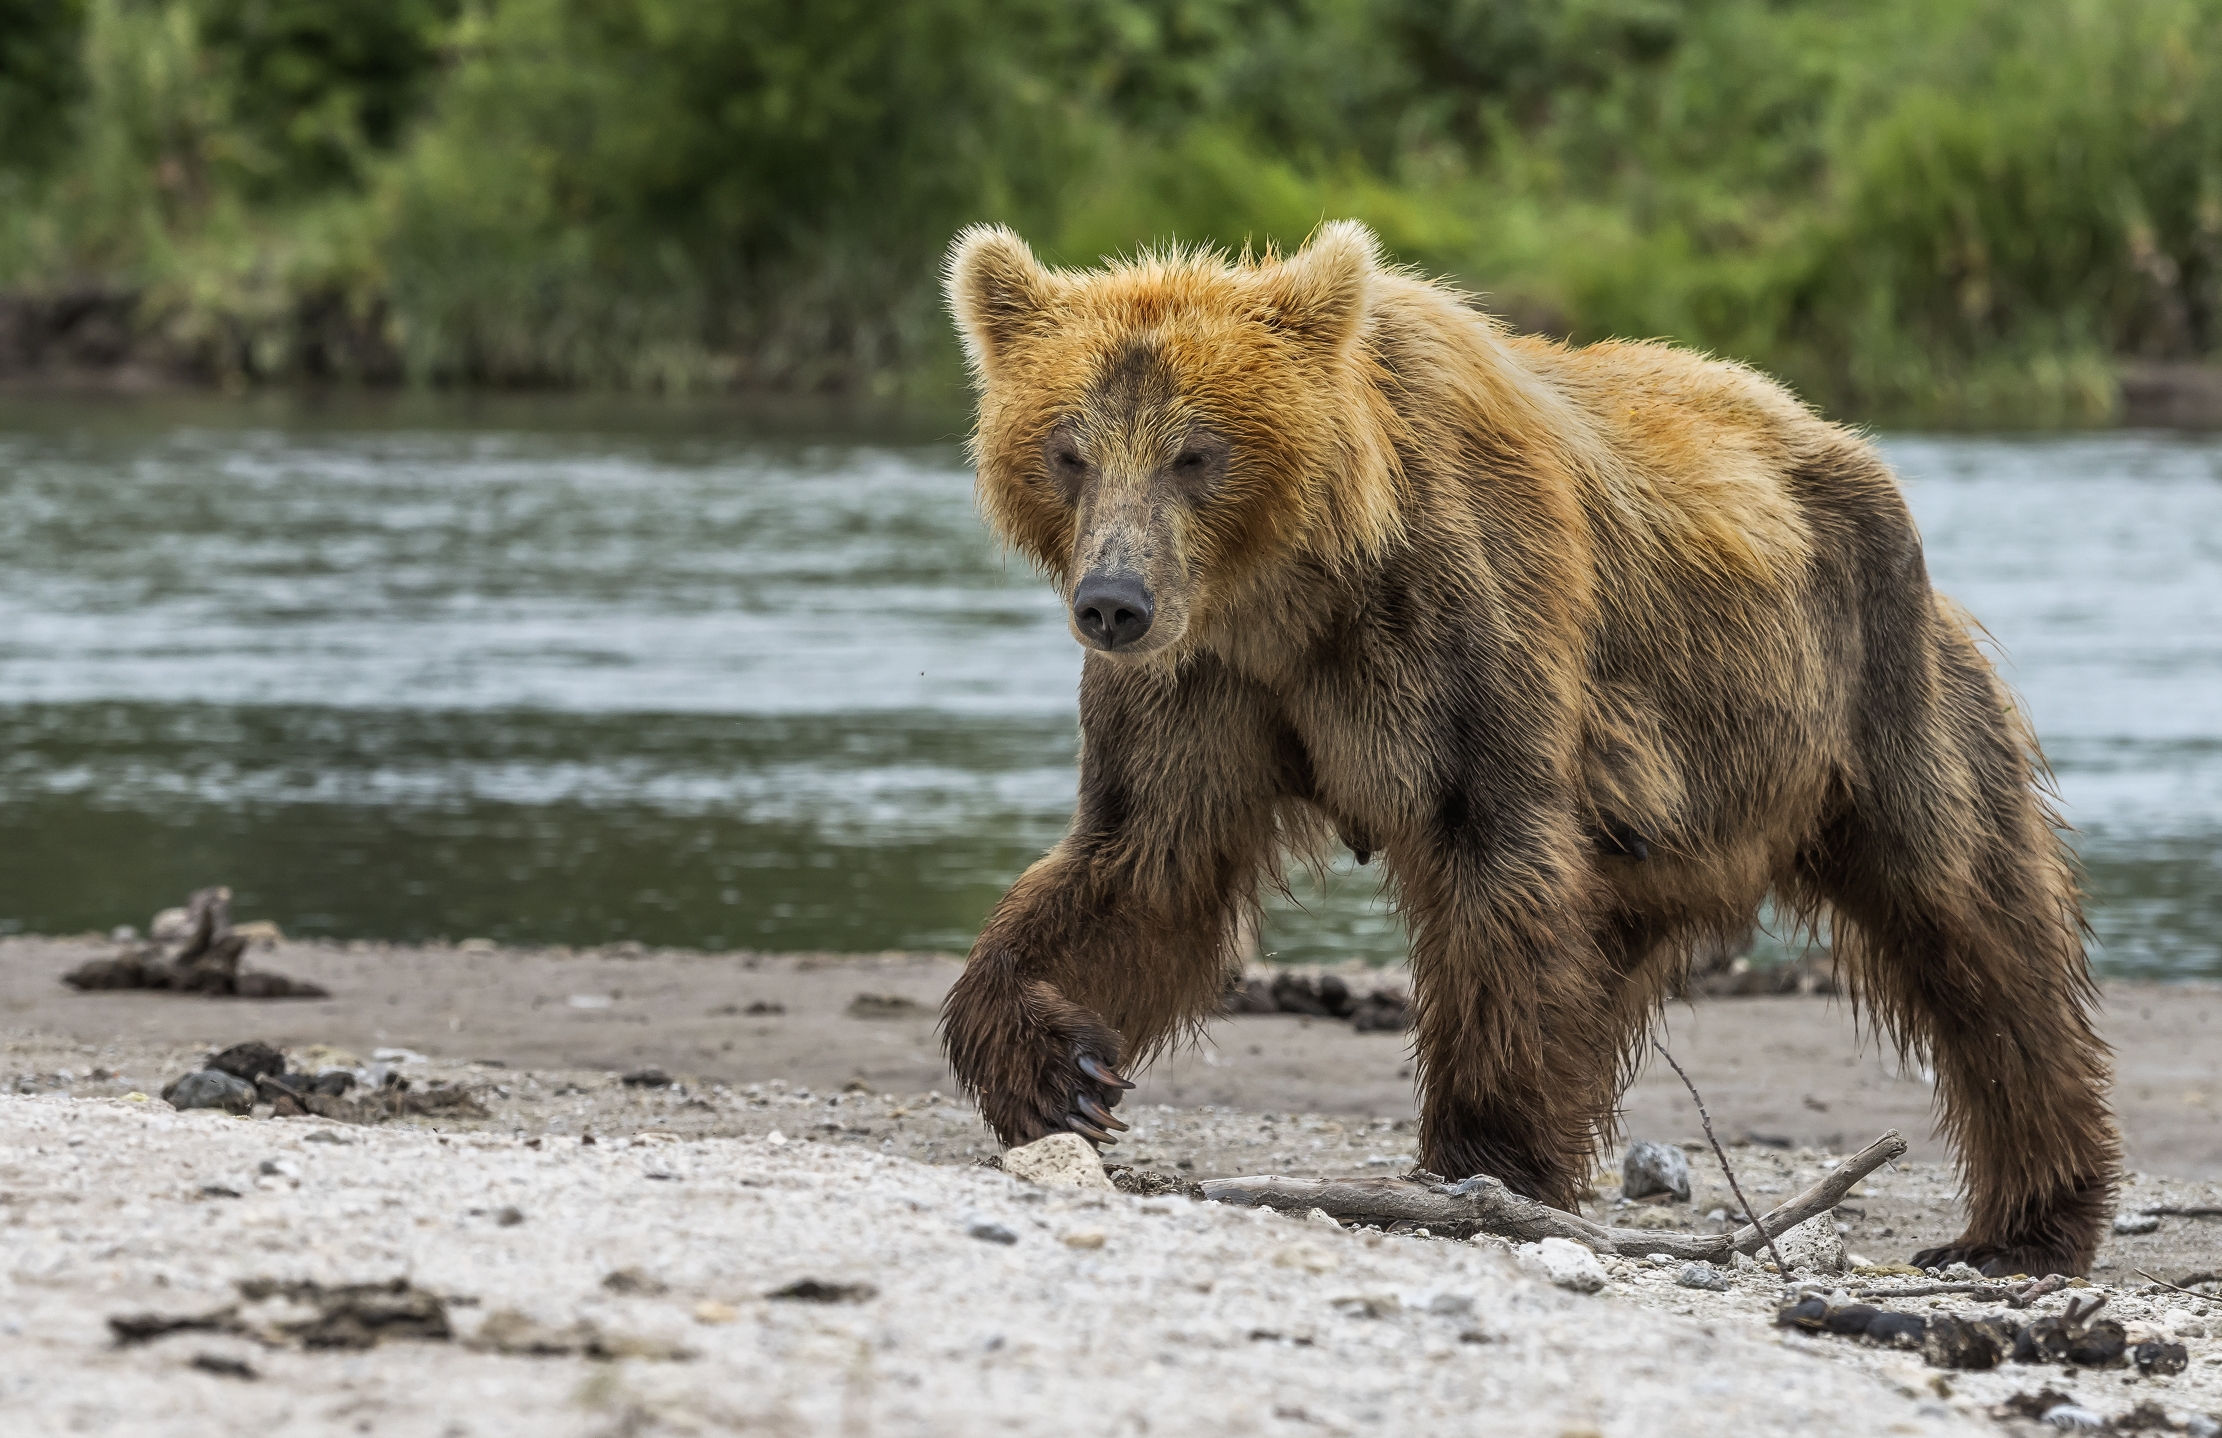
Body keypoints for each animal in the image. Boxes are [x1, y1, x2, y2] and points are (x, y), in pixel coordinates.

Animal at [936, 220, 2119, 1277]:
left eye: (1196, 452)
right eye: (1067, 450)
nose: (1112, 602)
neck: (1295, 593)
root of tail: (1856, 456)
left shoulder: (1460, 621)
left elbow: (1491, 863)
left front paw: (1481, 1159)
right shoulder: (1205, 684)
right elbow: (1145, 860)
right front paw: (1060, 1070)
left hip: (1868, 688)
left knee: (1972, 923)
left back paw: (2024, 1222)